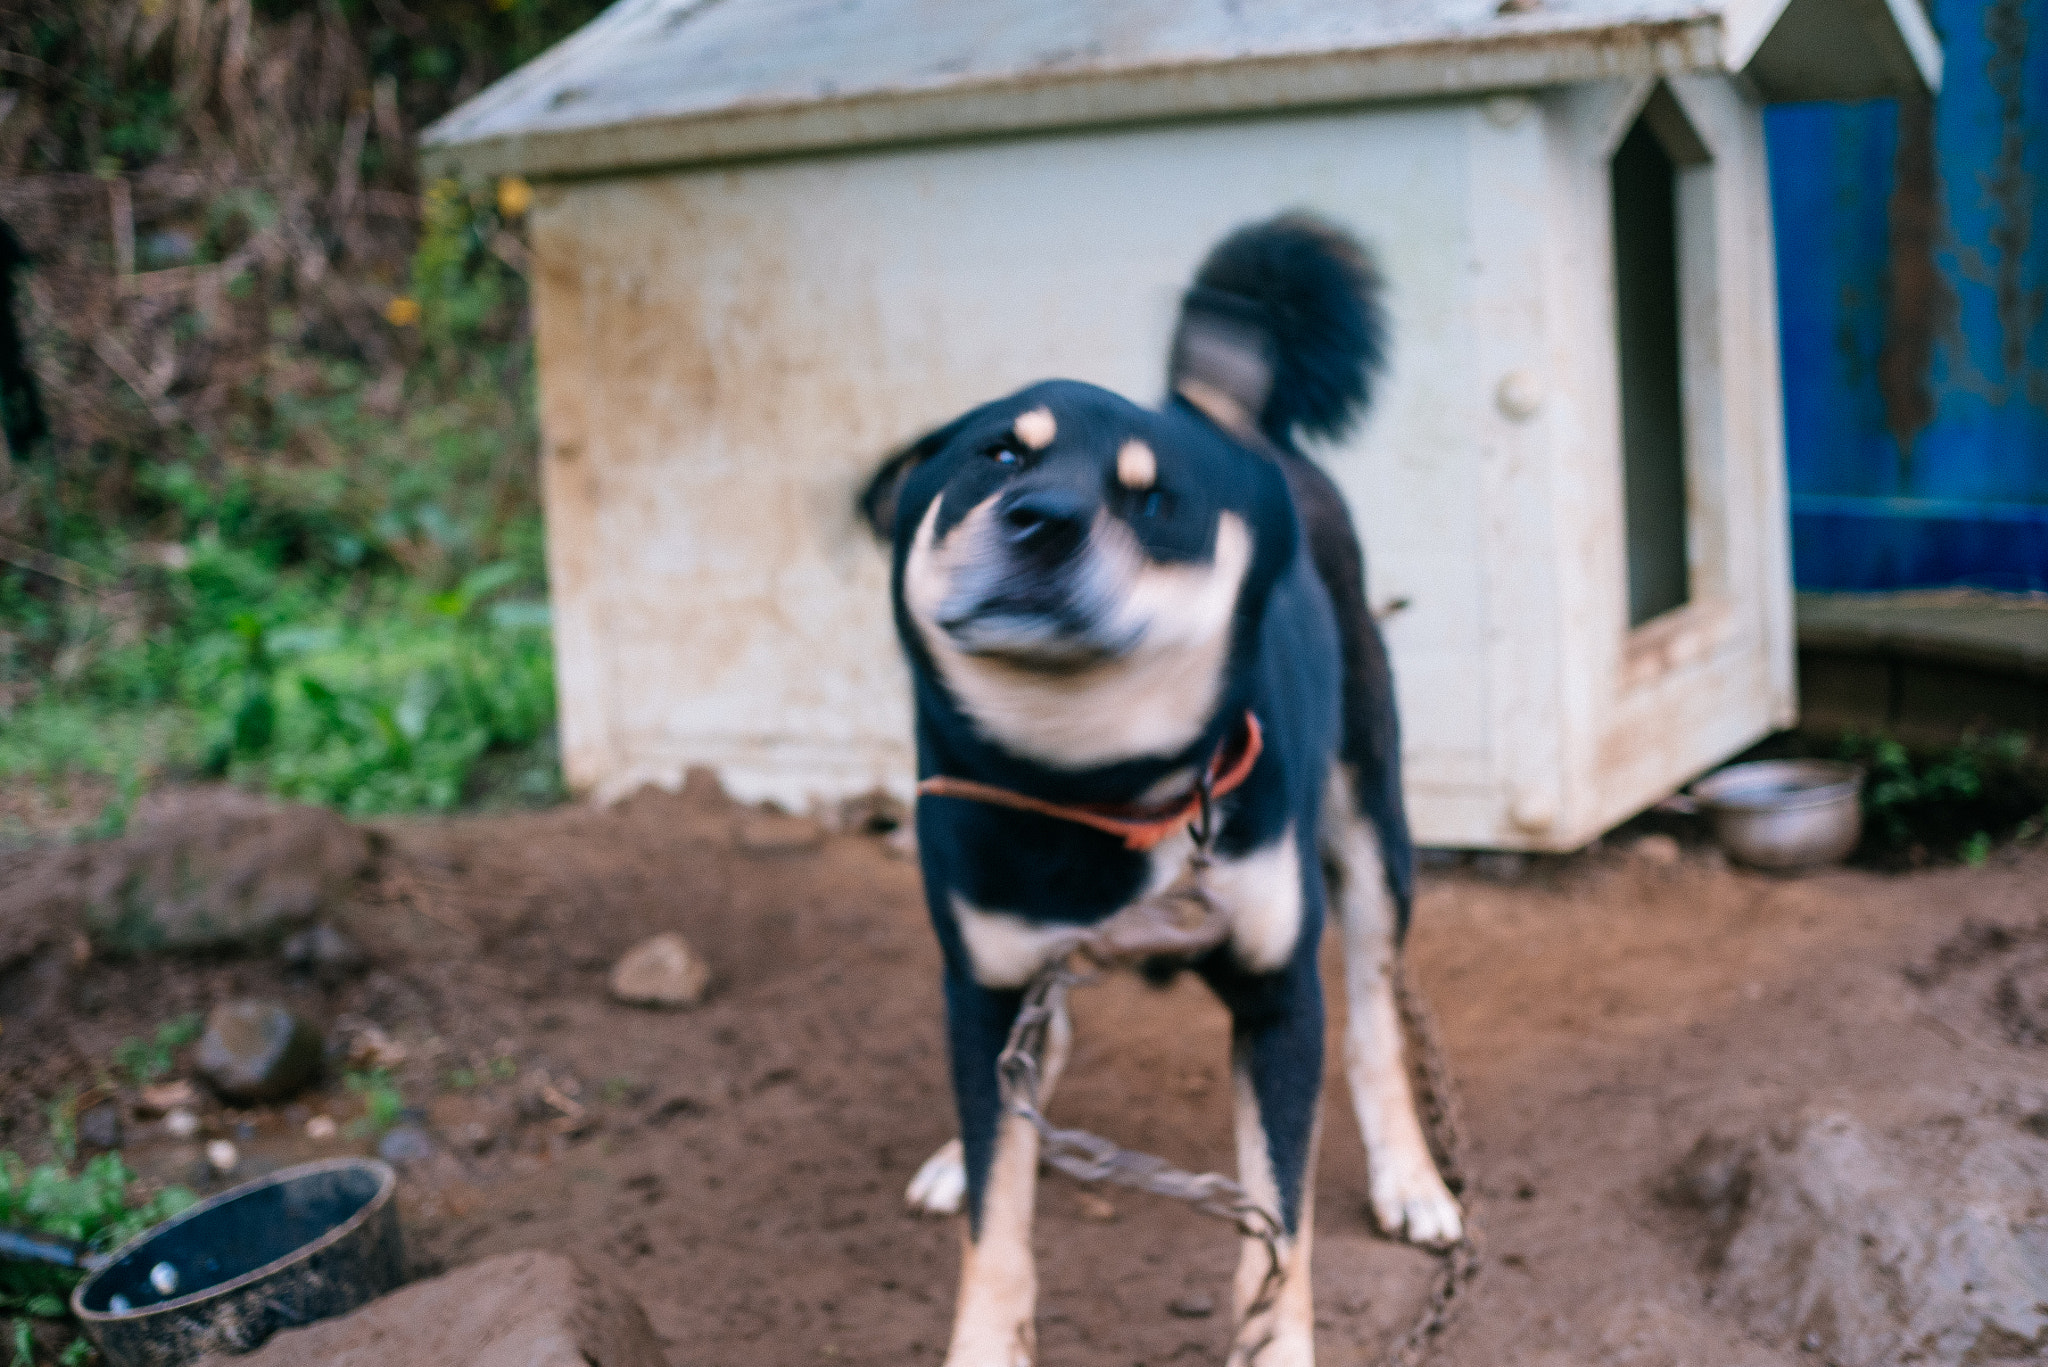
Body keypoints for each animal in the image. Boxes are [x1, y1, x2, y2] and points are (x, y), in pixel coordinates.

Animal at [856, 216, 1466, 1367]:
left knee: (1373, 1012)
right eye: (999, 454)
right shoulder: (987, 976)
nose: (1043, 519)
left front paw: (1278, 1345)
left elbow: (1279, 1229)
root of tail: (1217, 405)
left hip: (1372, 830)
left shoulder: (1277, 998)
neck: (1093, 782)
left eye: (1152, 499)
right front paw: (984, 1328)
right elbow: (996, 1218)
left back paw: (1409, 1173)